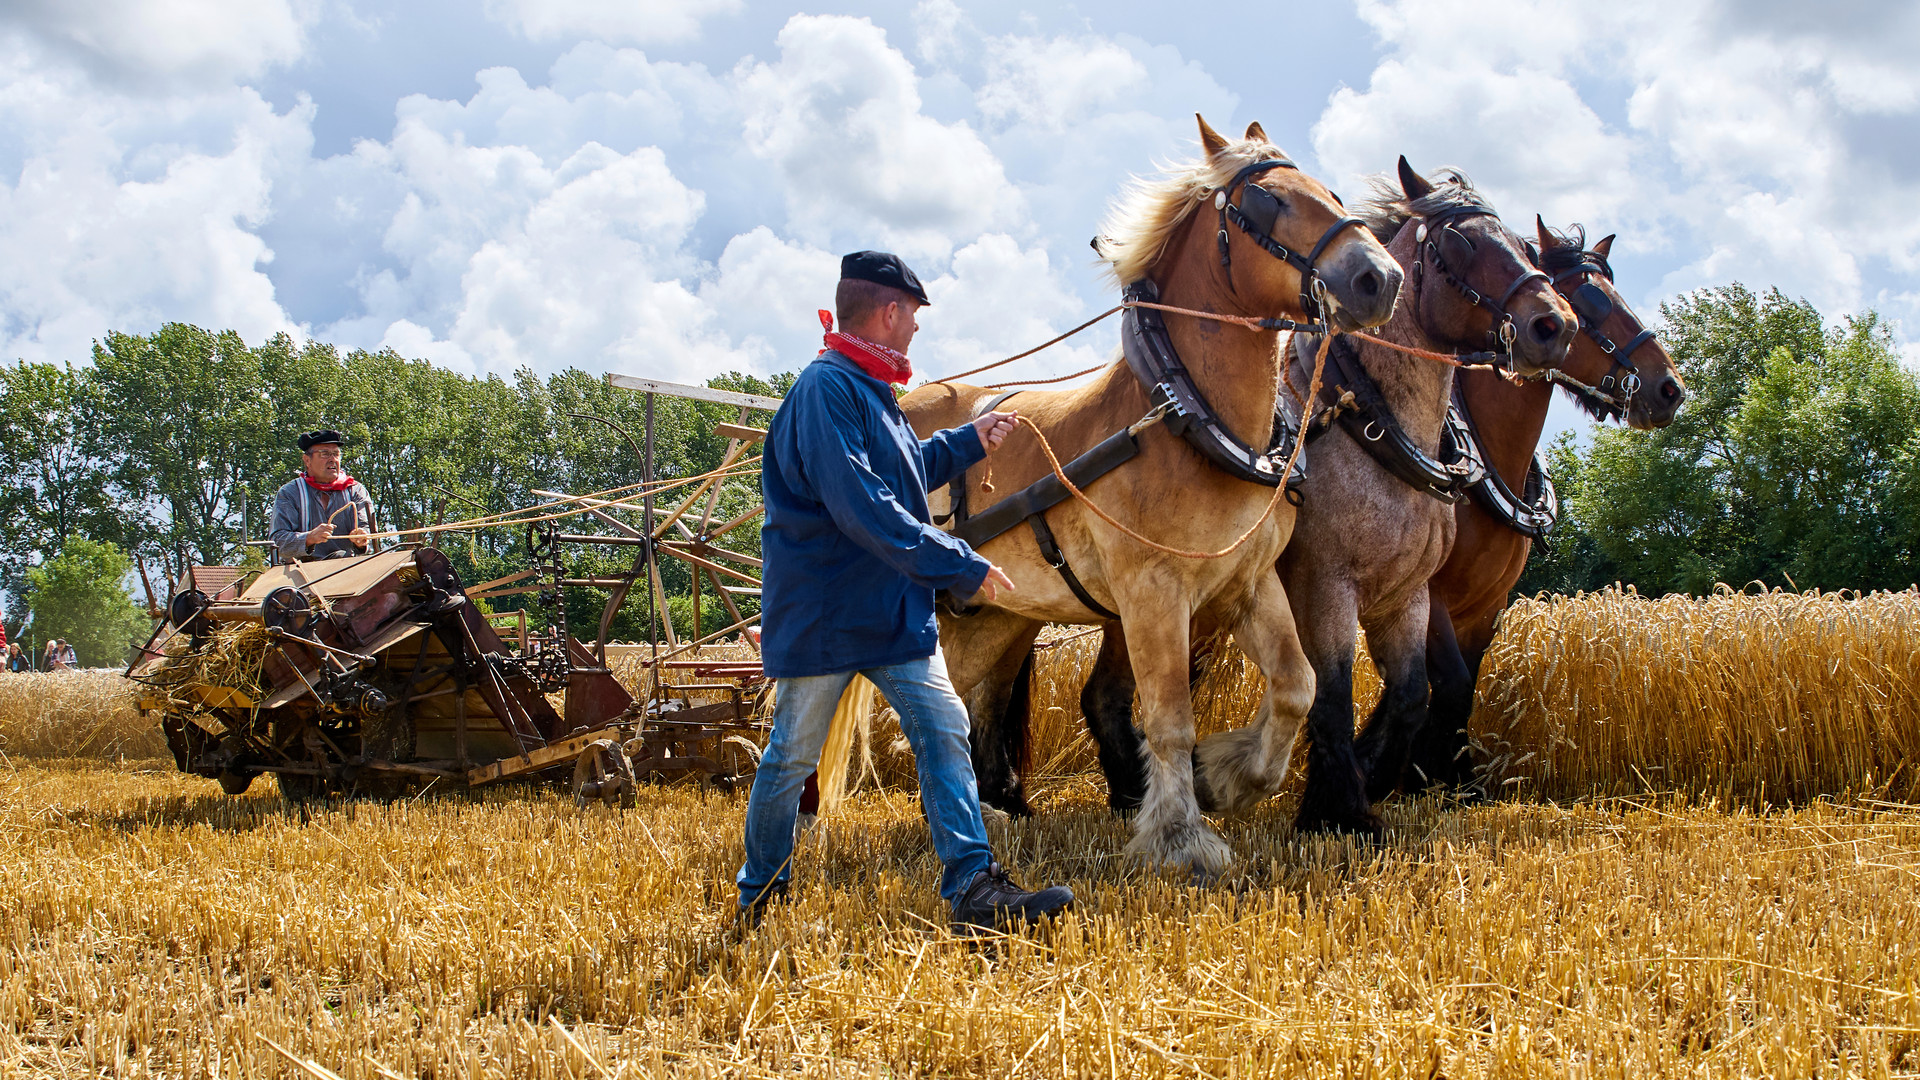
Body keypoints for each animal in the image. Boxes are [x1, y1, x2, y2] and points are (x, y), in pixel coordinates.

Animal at [1390, 219, 1689, 791]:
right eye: (1592, 301)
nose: (1670, 388)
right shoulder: (1425, 592)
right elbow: (1449, 684)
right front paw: (1402, 773)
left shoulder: (1487, 605)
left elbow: (1464, 688)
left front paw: (1449, 777)